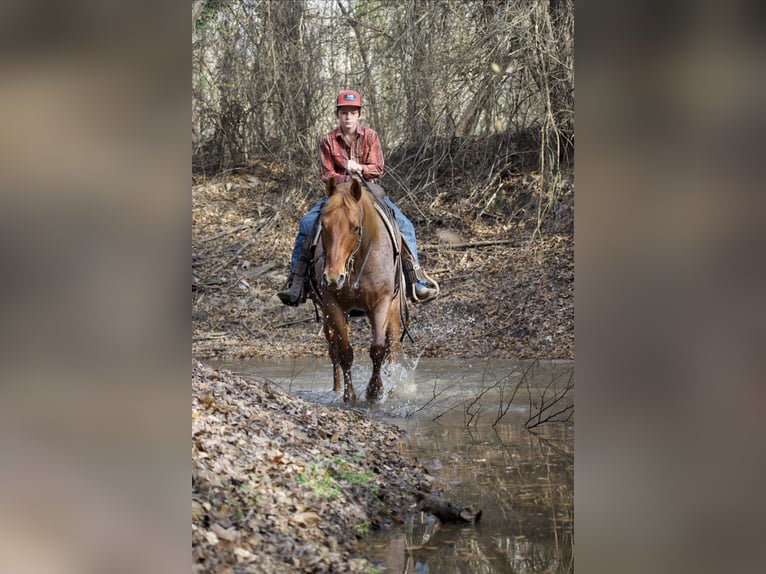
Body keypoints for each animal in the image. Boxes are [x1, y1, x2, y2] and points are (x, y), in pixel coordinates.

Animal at [312, 177, 403, 403]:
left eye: (355, 227)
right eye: (323, 225)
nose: (333, 277)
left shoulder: (381, 303)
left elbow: (378, 350)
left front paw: (374, 391)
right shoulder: (332, 305)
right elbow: (345, 352)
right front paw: (349, 395)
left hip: (393, 308)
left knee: (392, 346)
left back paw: (391, 389)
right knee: (333, 350)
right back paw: (336, 389)